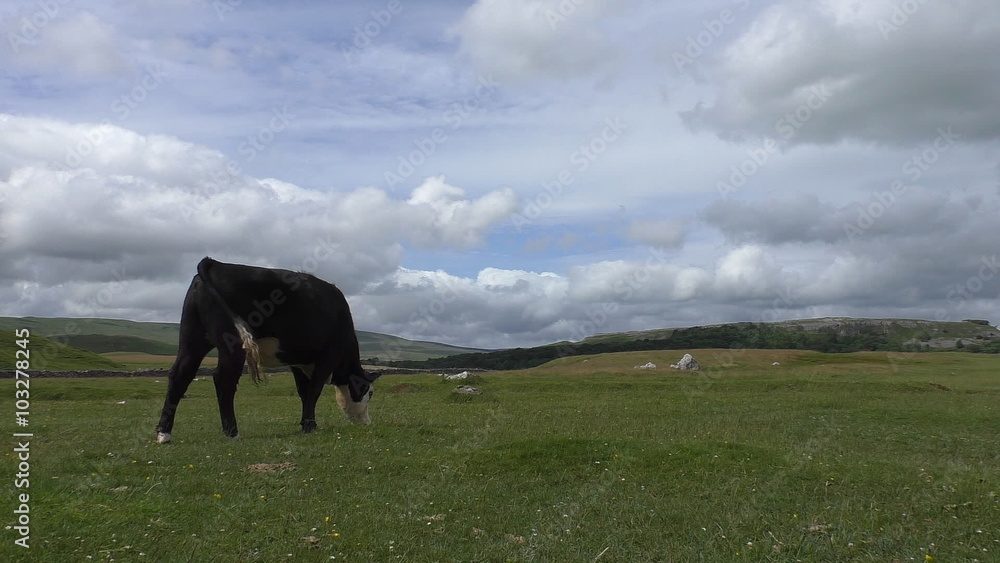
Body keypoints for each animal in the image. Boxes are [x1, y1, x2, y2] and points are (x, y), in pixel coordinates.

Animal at [155, 257, 381, 443]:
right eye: (369, 392)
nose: (367, 422)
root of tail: (214, 263)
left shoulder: (296, 359)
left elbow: (303, 391)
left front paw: (305, 423)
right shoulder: (329, 355)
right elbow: (314, 389)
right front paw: (310, 425)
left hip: (192, 338)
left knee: (180, 375)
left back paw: (164, 433)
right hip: (232, 342)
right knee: (223, 379)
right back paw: (232, 432)